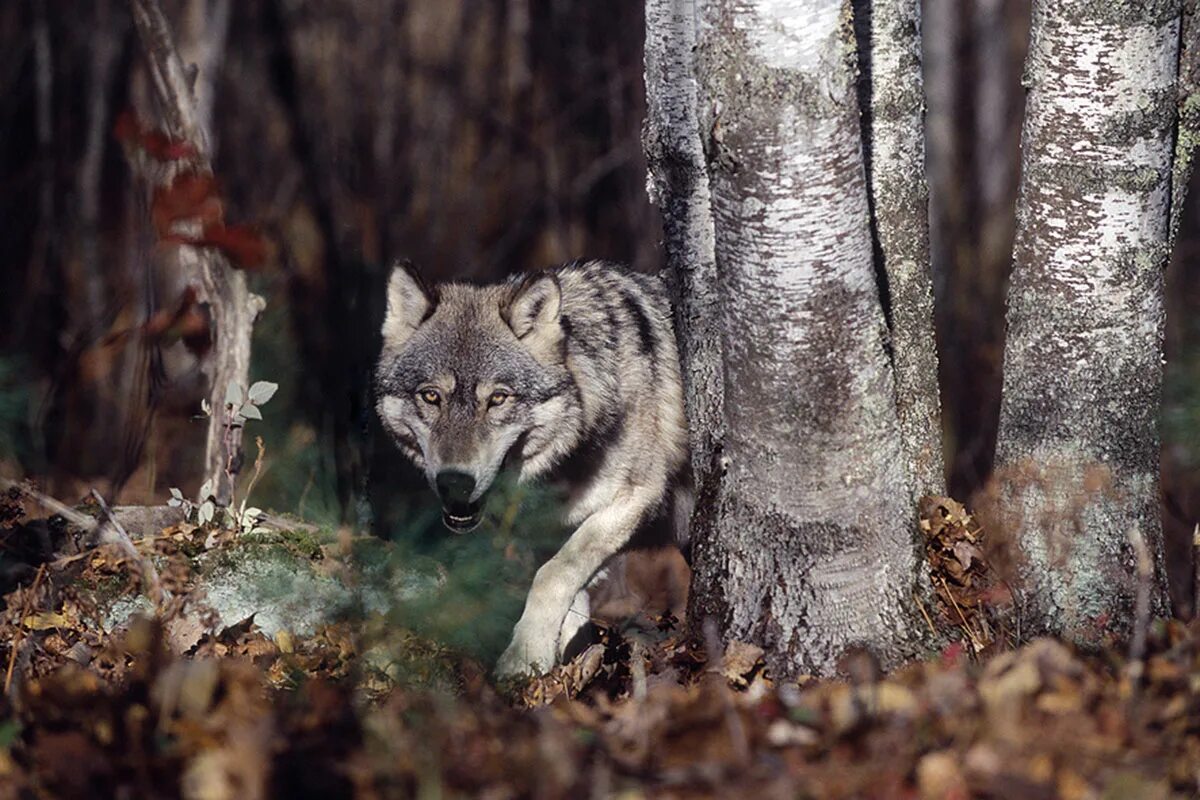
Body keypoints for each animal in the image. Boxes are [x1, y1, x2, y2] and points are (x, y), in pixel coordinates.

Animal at [374, 261, 696, 676]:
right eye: (431, 396)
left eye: (498, 399)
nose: (455, 482)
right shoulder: (550, 529)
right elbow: (570, 592)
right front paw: (569, 664)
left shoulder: (636, 498)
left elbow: (553, 574)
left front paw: (524, 657)